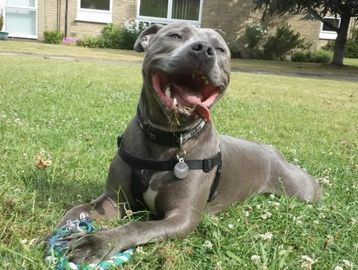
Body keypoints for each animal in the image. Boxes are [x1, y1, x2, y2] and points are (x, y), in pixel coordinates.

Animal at [56, 22, 322, 262]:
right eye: (174, 35)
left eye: (220, 48)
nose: (204, 49)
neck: (167, 139)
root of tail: (271, 150)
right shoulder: (113, 199)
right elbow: (77, 210)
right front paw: (62, 231)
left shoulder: (181, 216)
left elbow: (138, 227)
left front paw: (97, 242)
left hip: (302, 190)